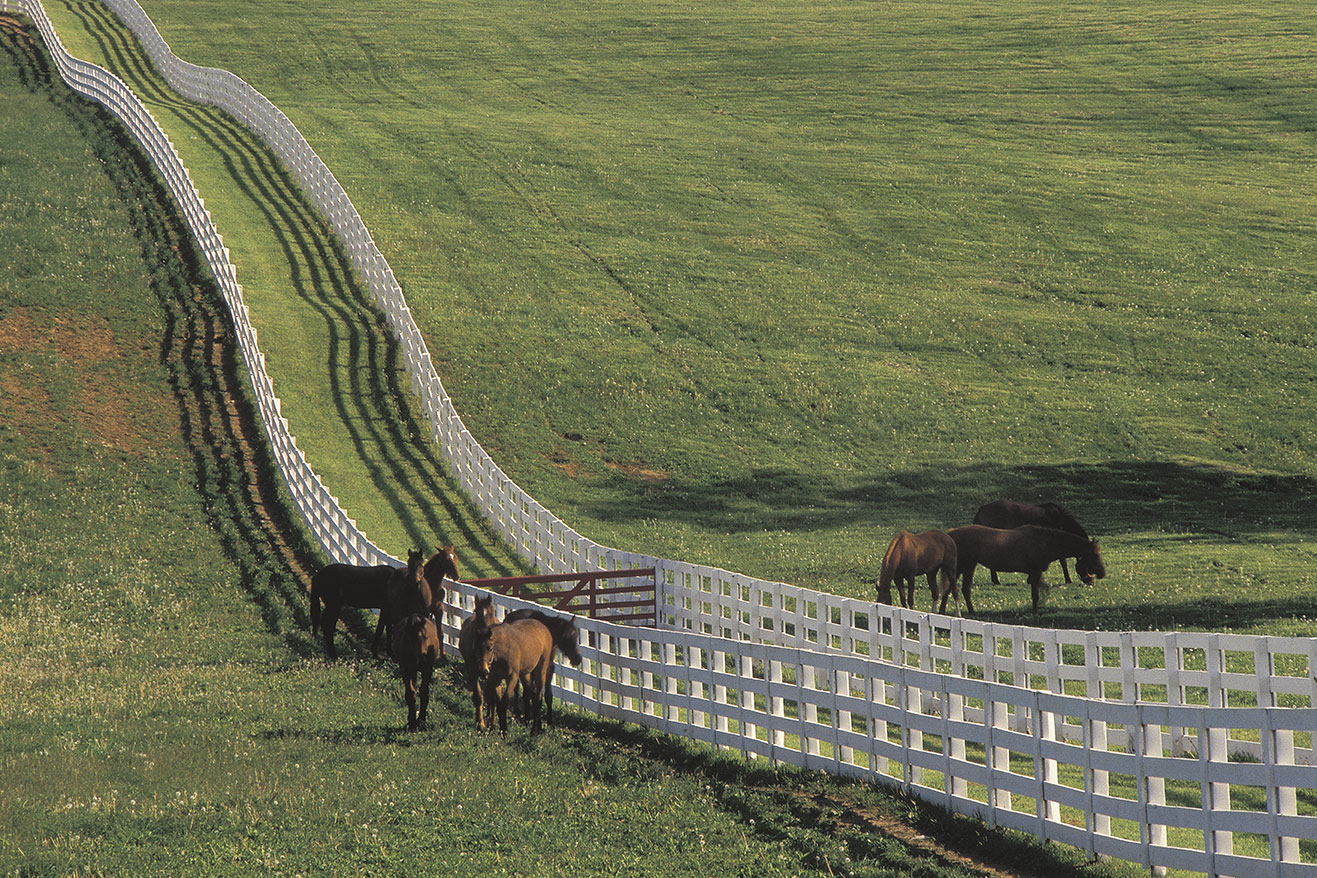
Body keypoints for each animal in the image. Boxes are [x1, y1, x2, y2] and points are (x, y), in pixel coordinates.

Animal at [458, 594, 497, 731]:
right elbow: (479, 696)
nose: (484, 633)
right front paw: (480, 723)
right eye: (476, 611)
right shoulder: (473, 671)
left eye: (491, 613)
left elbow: (494, 697)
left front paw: (493, 723)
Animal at [942, 526, 1106, 616]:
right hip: (965, 566)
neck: (1045, 542)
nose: (1102, 573)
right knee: (957, 589)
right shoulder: (1035, 572)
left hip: (966, 567)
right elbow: (1035, 595)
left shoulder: (1035, 574)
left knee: (955, 589)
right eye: (1094, 555)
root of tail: (951, 534)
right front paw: (1035, 613)